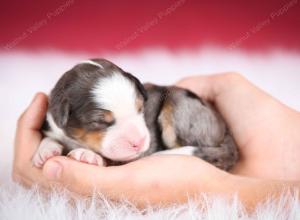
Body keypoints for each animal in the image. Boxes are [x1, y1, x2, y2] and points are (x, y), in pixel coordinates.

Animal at [32, 58, 239, 170]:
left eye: (141, 109)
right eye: (100, 122)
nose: (139, 143)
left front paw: (87, 155)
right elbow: (50, 137)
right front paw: (45, 151)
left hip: (181, 106)